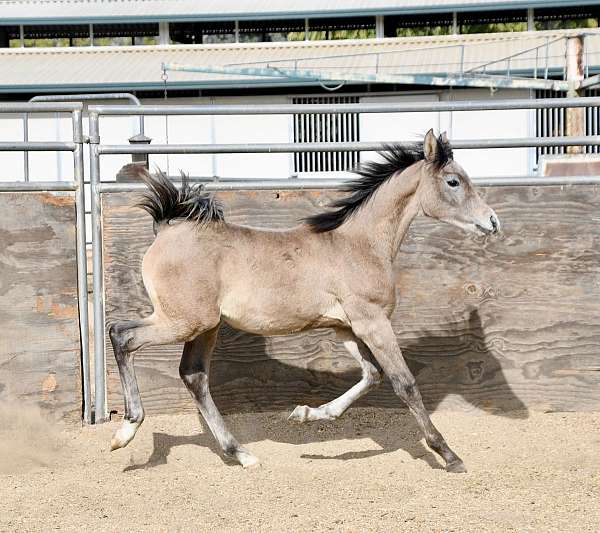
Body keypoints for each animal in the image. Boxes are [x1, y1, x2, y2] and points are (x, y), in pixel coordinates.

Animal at [109, 131, 502, 472]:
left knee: (193, 376)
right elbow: (403, 382)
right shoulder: (373, 321)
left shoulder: (347, 328)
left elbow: (371, 375)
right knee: (121, 335)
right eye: (454, 181)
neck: (358, 244)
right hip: (183, 321)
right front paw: (449, 454)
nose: (493, 221)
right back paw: (126, 431)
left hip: (205, 327)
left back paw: (241, 454)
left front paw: (306, 414)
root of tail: (167, 229)